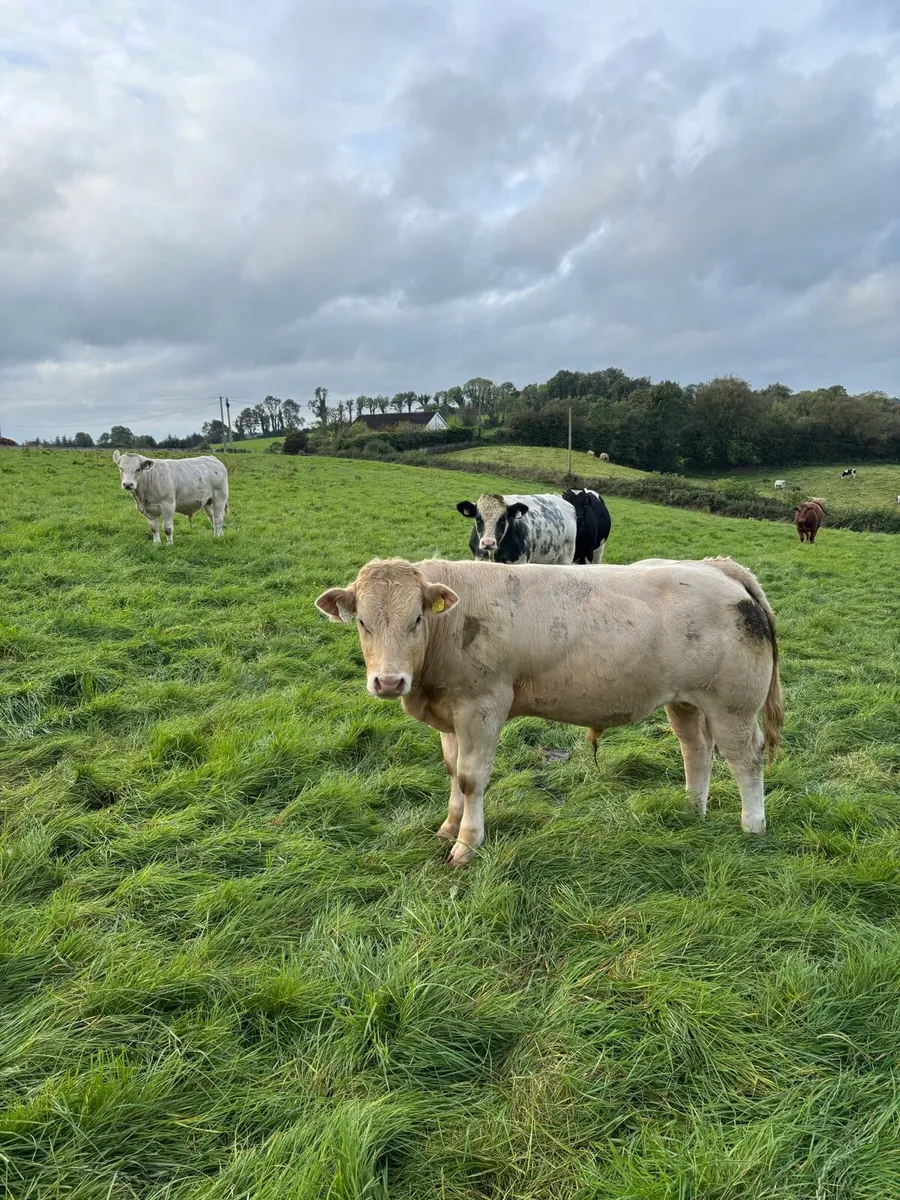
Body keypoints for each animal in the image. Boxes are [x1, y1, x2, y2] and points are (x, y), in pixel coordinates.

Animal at [315, 554, 783, 866]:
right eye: (362, 623)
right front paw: (448, 827)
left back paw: (752, 826)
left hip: (733, 705)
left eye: (415, 619)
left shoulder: (482, 706)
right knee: (696, 749)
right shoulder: (449, 713)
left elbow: (470, 778)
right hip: (685, 701)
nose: (389, 682)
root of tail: (717, 568)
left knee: (746, 759)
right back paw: (691, 810)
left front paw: (465, 844)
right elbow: (451, 771)